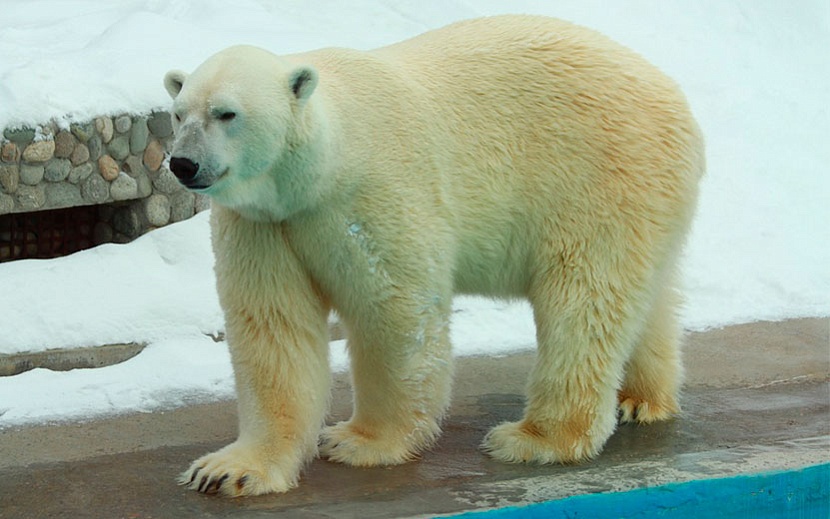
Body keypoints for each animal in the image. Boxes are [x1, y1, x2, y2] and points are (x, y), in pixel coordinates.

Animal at [166, 14, 704, 498]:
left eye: (226, 113)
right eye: (178, 113)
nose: (182, 163)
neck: (320, 167)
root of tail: (676, 99)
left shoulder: (371, 194)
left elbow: (396, 312)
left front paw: (360, 441)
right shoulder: (266, 225)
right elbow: (272, 328)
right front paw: (226, 470)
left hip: (601, 176)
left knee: (583, 301)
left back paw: (534, 438)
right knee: (642, 296)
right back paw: (640, 399)